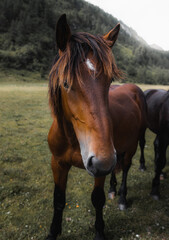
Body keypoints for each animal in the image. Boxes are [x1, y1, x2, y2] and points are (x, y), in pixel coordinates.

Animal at [46, 14, 147, 240]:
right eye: (66, 83)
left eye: (109, 81)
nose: (103, 161)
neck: (73, 139)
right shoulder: (58, 163)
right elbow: (58, 200)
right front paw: (52, 232)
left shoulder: (100, 168)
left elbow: (97, 199)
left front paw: (99, 231)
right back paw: (113, 189)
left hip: (132, 144)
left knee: (126, 167)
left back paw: (122, 198)